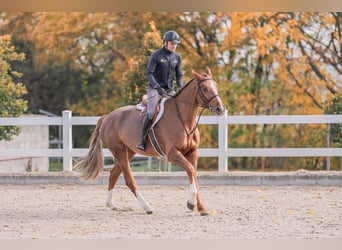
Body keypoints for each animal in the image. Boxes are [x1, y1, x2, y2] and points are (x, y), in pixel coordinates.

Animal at [75, 66, 224, 215]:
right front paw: (191, 203)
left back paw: (111, 204)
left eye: (216, 85)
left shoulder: (192, 152)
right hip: (119, 151)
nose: (220, 109)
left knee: (113, 174)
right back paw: (147, 207)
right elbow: (191, 170)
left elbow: (194, 175)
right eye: (205, 88)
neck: (185, 121)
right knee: (129, 180)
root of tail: (107, 117)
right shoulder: (172, 154)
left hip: (129, 152)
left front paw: (201, 208)